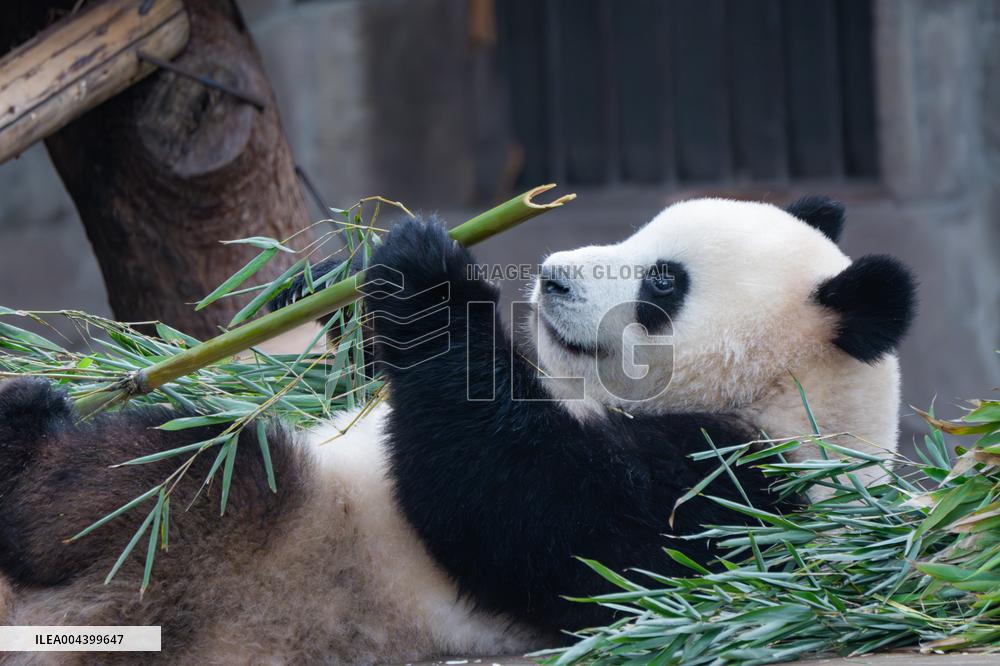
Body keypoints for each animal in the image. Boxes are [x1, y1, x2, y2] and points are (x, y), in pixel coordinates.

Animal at [0, 196, 915, 664]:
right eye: (638, 230)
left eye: (663, 280)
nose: (551, 278)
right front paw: (333, 279)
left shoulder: (745, 491)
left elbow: (556, 531)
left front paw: (427, 269)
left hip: (248, 571)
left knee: (173, 474)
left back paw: (32, 450)